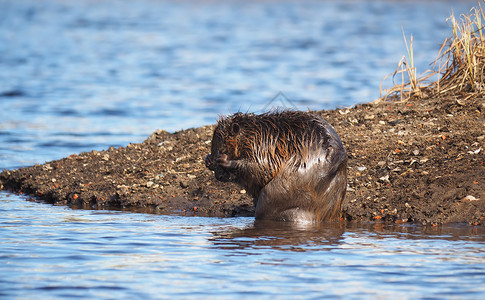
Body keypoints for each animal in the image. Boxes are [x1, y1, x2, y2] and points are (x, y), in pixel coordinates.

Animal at [203, 110, 344, 223]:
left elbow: (263, 168)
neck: (253, 132)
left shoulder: (262, 146)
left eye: (222, 149)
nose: (218, 176)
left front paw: (223, 160)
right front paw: (208, 160)